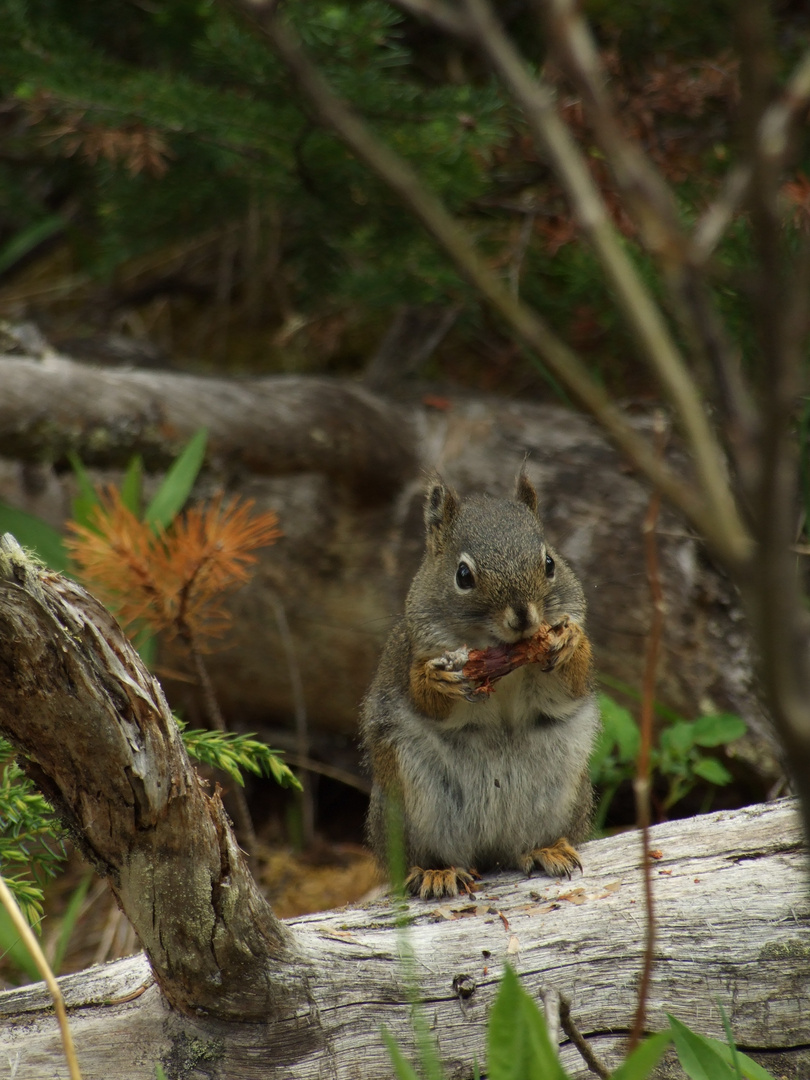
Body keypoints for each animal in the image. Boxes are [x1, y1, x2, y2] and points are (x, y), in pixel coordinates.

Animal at [360, 468, 604, 898]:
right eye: (463, 575)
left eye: (549, 562)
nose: (523, 616)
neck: (500, 651)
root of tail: (488, 854)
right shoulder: (415, 651)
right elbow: (424, 698)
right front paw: (440, 680)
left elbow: (571, 684)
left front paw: (570, 642)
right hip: (411, 806)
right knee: (426, 855)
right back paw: (436, 871)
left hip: (561, 796)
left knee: (523, 846)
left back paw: (546, 849)